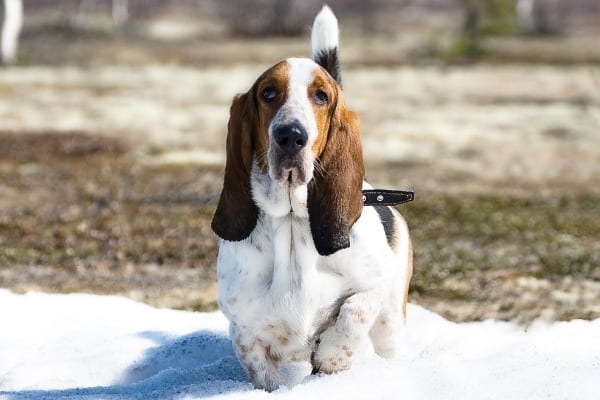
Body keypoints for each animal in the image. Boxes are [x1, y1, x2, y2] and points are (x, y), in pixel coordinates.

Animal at [211, 4, 412, 390]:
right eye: (268, 93)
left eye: (321, 96)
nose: (291, 135)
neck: (292, 222)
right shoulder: (246, 332)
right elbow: (262, 372)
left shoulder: (373, 289)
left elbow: (351, 313)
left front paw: (332, 356)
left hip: (391, 323)